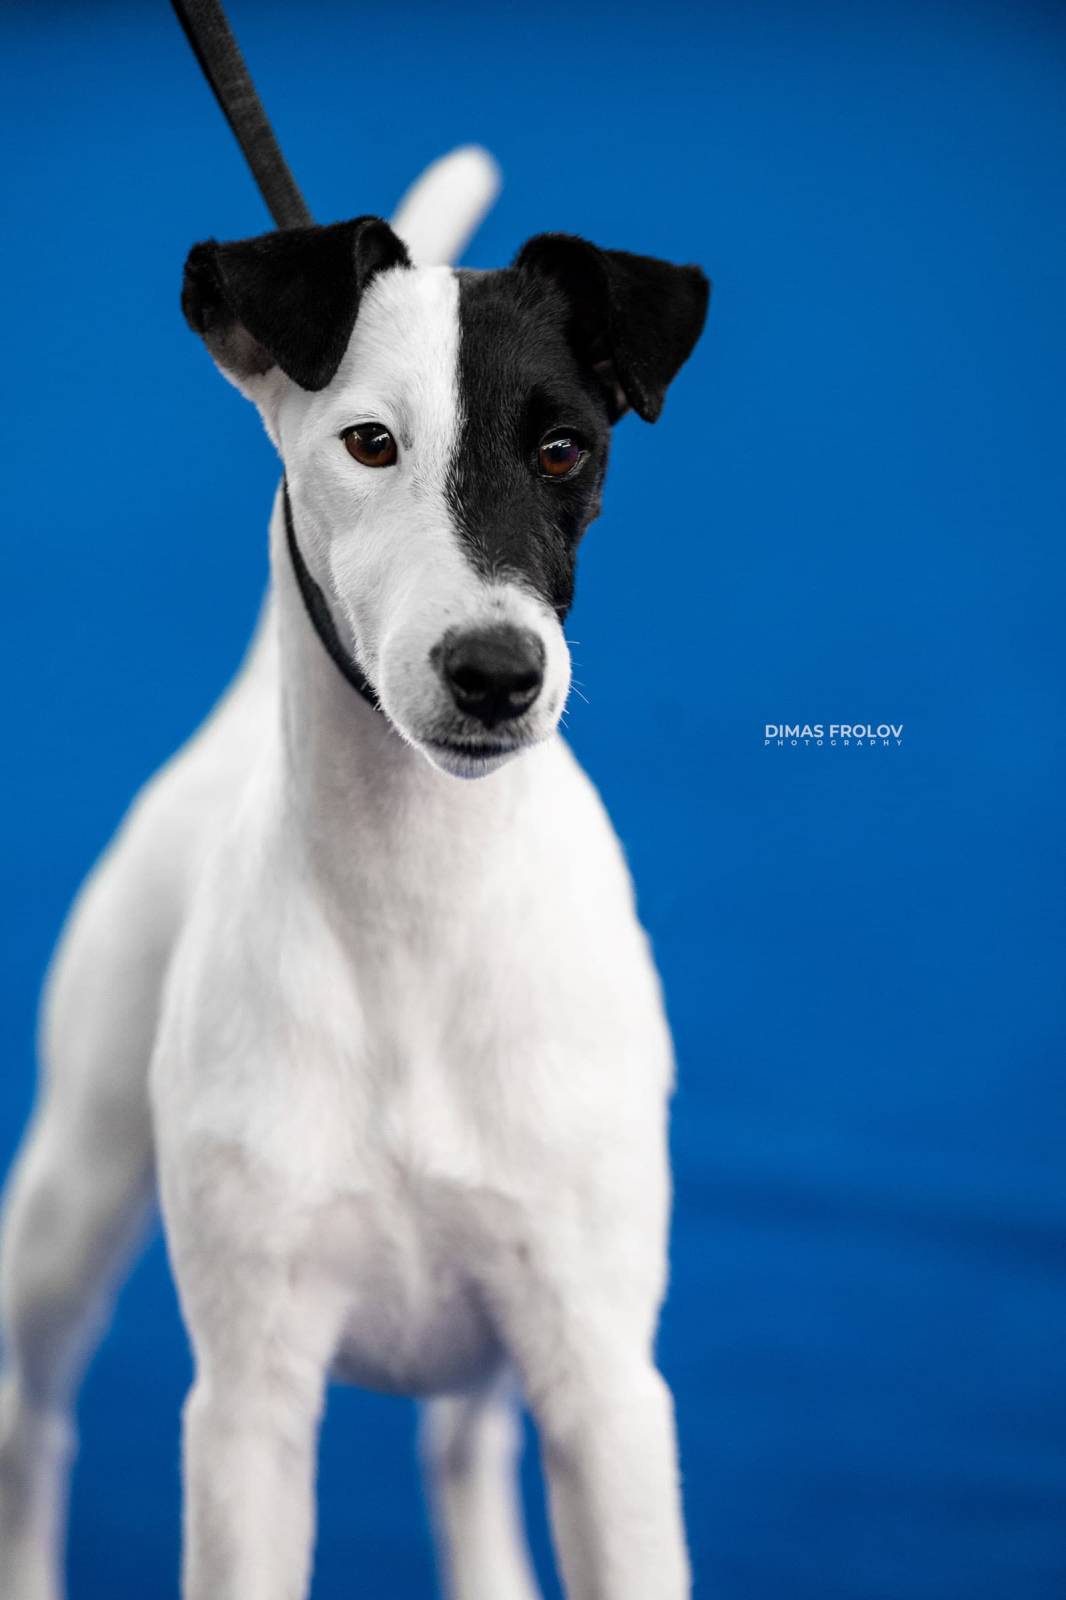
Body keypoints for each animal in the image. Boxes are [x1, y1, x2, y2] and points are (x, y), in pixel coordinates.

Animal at [0, 146, 709, 1600]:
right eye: (368, 443)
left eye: (565, 447)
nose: (495, 672)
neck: (414, 910)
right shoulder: (250, 1404)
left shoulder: (605, 1386)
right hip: (70, 1197)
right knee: (30, 1419)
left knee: (461, 1448)